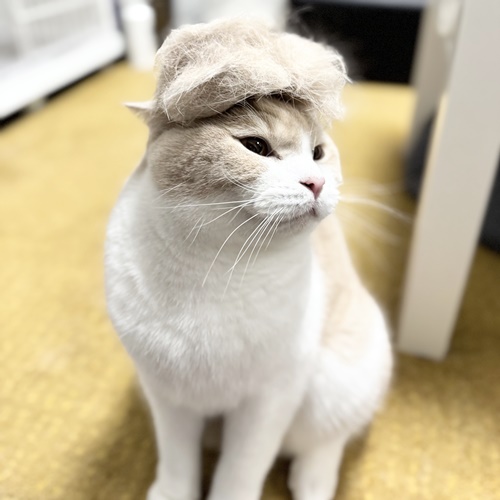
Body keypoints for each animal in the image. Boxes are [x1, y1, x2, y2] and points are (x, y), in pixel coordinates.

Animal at [105, 19, 393, 500]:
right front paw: (172, 490)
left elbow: (240, 471)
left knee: (328, 438)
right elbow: (177, 462)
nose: (315, 182)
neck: (215, 270)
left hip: (333, 385)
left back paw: (312, 481)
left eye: (318, 153)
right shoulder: (167, 396)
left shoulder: (268, 402)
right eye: (256, 146)